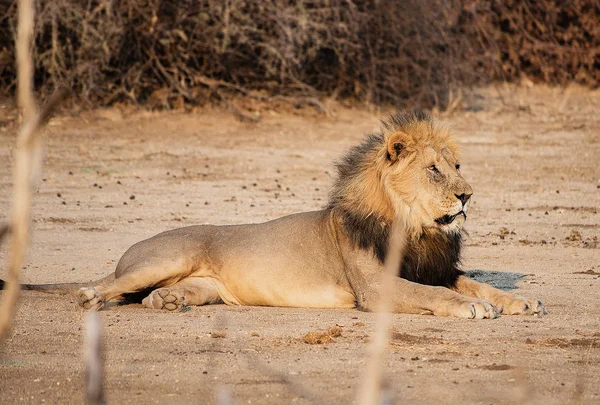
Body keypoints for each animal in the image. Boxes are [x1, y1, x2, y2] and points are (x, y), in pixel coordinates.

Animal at [0, 109, 544, 318]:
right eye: (434, 170)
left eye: (457, 166)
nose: (468, 195)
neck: (417, 228)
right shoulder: (375, 287)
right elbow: (434, 294)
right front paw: (475, 308)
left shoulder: (436, 267)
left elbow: (474, 283)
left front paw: (520, 301)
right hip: (163, 258)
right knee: (105, 285)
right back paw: (92, 296)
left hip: (200, 286)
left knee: (153, 296)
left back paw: (167, 303)